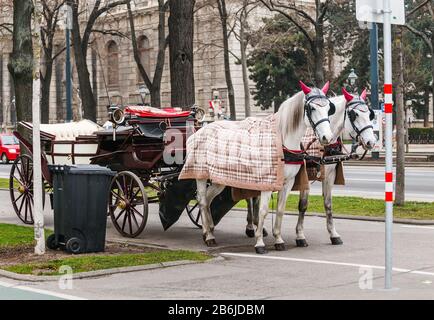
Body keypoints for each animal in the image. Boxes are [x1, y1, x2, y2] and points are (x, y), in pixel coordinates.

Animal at [197, 80, 336, 252]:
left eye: (328, 108)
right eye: (312, 108)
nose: (327, 137)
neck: (282, 141)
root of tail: (204, 128)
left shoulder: (287, 182)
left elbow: (280, 210)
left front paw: (278, 239)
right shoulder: (267, 183)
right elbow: (263, 211)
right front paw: (259, 242)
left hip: (219, 179)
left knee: (208, 199)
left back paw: (208, 230)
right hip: (201, 175)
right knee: (202, 200)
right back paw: (208, 235)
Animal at [294, 89, 378, 246]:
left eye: (370, 114)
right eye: (354, 114)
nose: (371, 142)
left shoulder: (329, 176)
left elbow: (328, 204)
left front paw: (333, 234)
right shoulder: (305, 177)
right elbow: (303, 205)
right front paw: (300, 236)